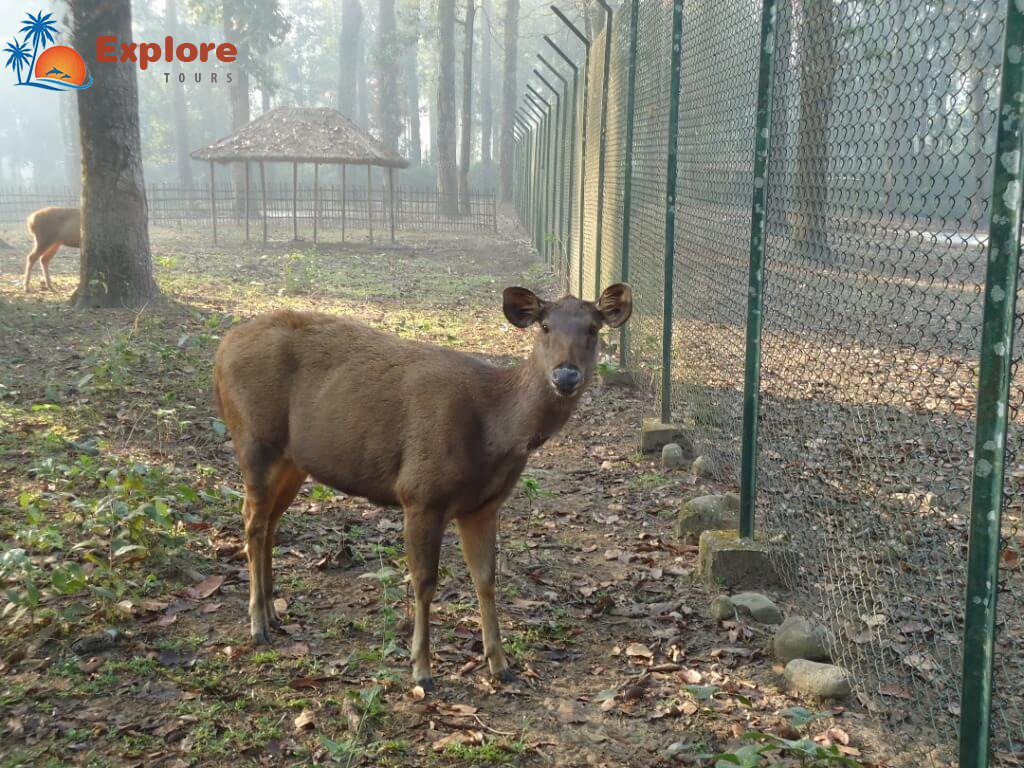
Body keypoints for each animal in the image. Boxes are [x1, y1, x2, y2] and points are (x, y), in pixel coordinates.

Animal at [213, 283, 632, 690]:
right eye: (544, 326)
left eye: (593, 329)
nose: (566, 376)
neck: (493, 431)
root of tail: (222, 349)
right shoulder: (420, 493)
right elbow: (424, 582)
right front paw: (422, 670)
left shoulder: (484, 506)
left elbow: (486, 579)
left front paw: (500, 664)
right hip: (254, 439)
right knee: (252, 521)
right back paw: (258, 624)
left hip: (293, 460)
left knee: (270, 522)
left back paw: (272, 612)